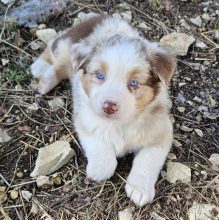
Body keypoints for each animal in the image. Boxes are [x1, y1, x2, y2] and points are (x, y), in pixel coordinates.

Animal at [30, 15, 175, 206]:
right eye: (100, 75)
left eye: (134, 83)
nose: (109, 106)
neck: (122, 122)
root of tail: (100, 16)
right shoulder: (86, 119)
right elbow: (102, 150)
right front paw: (99, 169)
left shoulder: (162, 131)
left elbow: (148, 159)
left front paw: (140, 189)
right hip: (66, 44)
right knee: (54, 52)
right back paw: (41, 73)